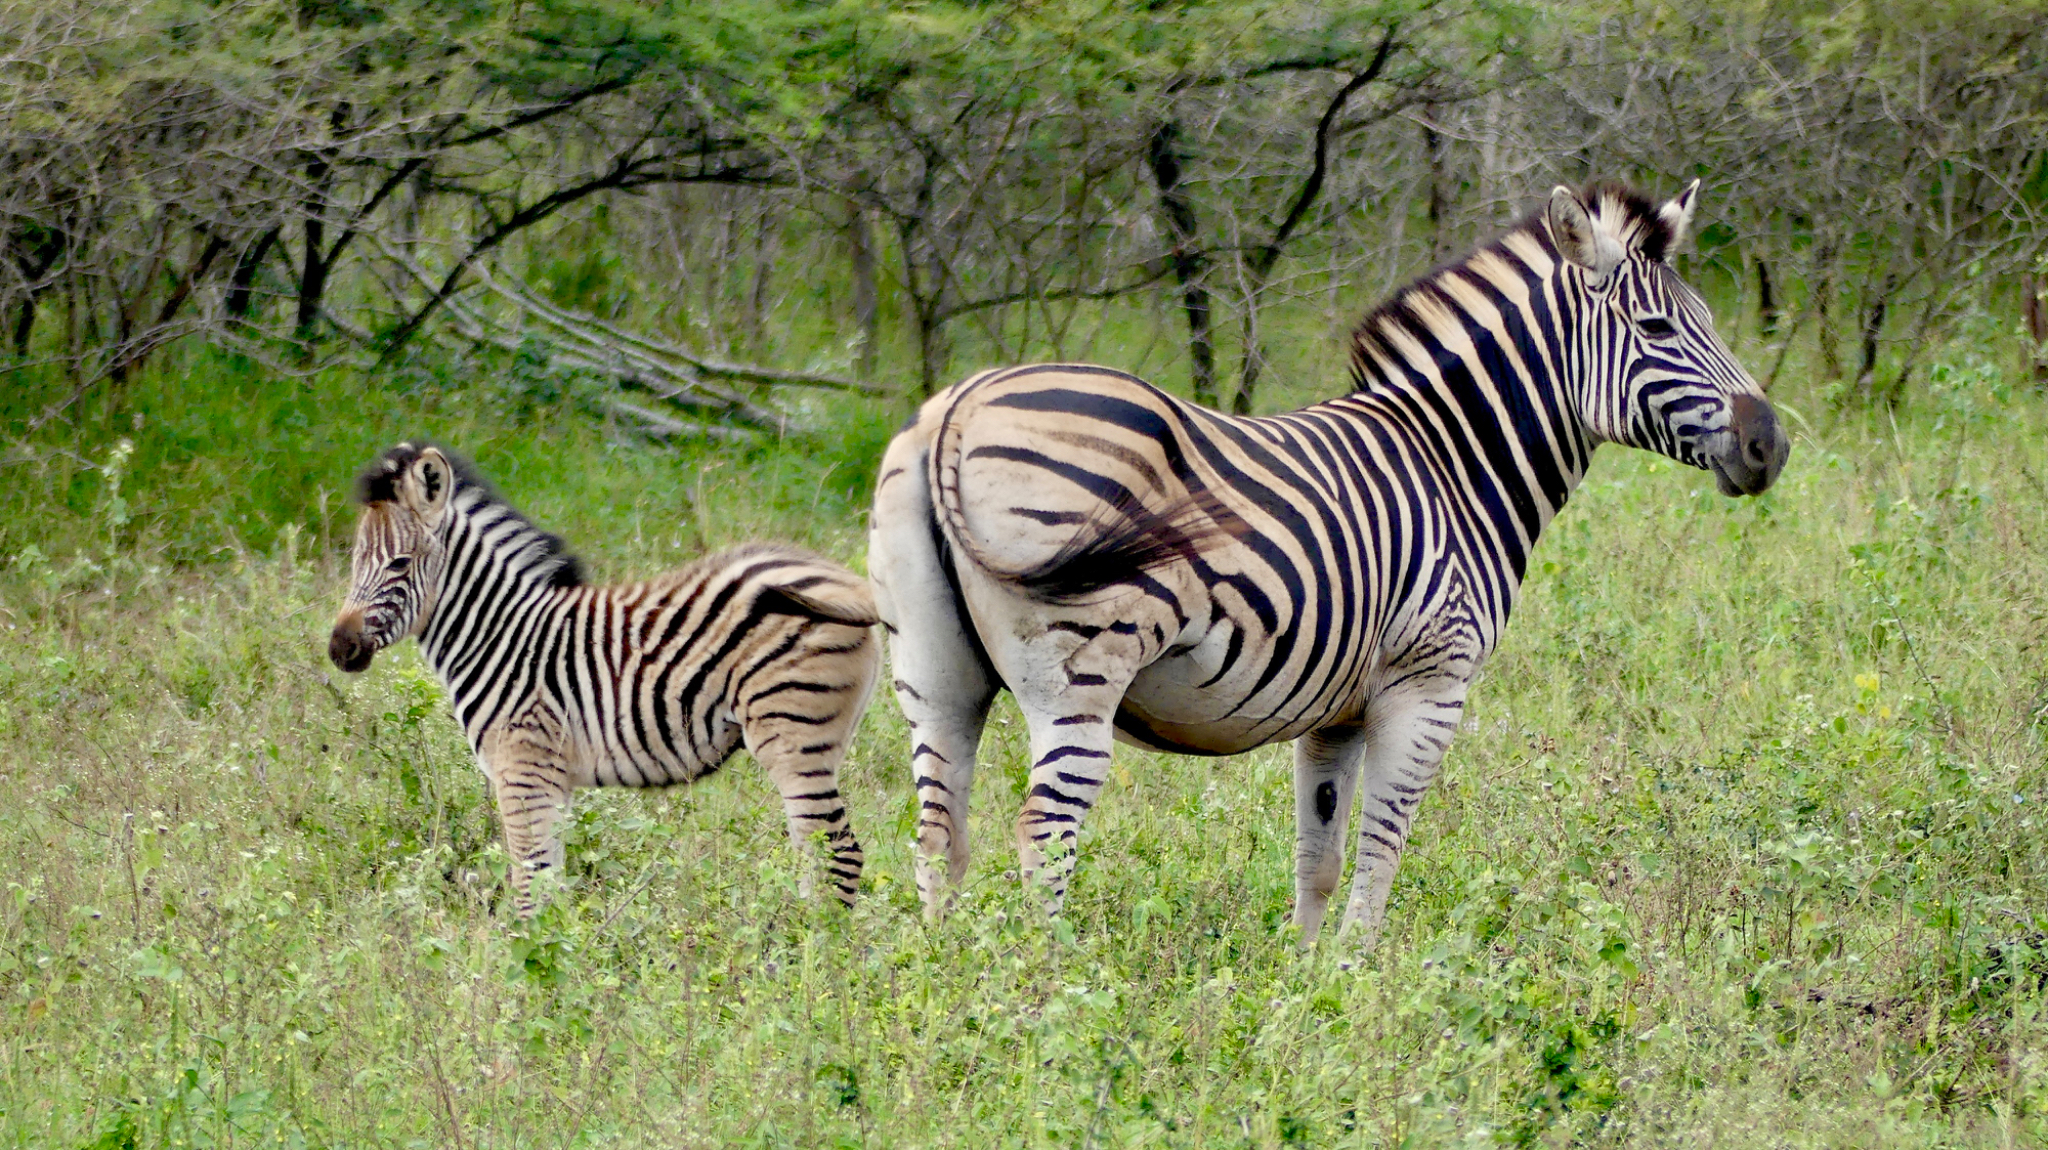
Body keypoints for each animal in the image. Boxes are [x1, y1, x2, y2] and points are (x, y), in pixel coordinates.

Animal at [327, 442, 881, 917]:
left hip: (790, 732)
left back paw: (806, 951)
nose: (339, 649)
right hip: (821, 739)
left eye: (400, 563)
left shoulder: (523, 767)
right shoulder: (552, 778)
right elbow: (550, 883)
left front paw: (526, 969)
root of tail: (848, 581)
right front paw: (556, 959)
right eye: (354, 562)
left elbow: (528, 885)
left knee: (837, 852)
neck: (500, 633)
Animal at [868, 180, 1790, 949]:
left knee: (939, 833)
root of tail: (953, 410)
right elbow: (1384, 843)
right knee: (1042, 834)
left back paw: (944, 983)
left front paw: (1304, 986)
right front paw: (1358, 975)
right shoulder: (1430, 681)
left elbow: (1320, 854)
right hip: (1078, 674)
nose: (1769, 445)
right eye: (1658, 330)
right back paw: (1047, 988)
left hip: (935, 675)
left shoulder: (1334, 709)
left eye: (1709, 322)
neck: (1453, 463)